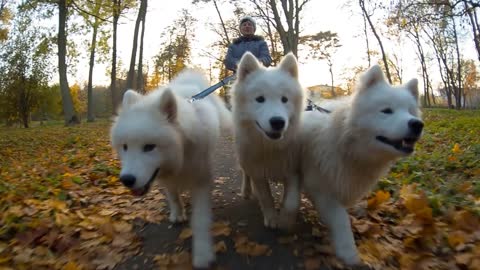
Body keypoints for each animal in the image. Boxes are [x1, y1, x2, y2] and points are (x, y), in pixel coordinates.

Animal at [111, 69, 232, 268]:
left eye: (149, 147)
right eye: (125, 147)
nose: (126, 180)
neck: (181, 154)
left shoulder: (201, 179)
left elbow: (200, 219)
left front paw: (202, 253)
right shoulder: (166, 177)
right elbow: (173, 195)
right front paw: (177, 213)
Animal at [231, 52, 306, 228]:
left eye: (284, 99)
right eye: (260, 99)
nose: (278, 122)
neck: (271, 147)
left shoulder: (293, 169)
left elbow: (292, 201)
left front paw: (285, 220)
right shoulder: (258, 173)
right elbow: (265, 198)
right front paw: (272, 218)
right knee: (245, 174)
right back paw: (246, 191)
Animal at [300, 66, 424, 266]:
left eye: (410, 112)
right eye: (386, 111)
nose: (417, 124)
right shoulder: (320, 188)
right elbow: (341, 218)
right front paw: (348, 252)